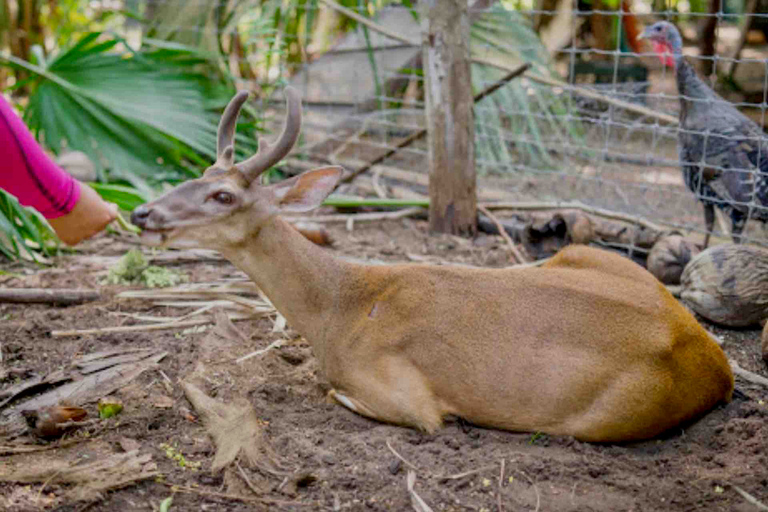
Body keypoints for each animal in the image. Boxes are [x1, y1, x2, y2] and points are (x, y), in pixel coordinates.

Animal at [132, 88, 732, 444]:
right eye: (199, 176)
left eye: (224, 196)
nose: (142, 212)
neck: (341, 309)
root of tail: (715, 361)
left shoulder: (406, 395)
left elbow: (337, 392)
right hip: (588, 254)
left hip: (607, 418)